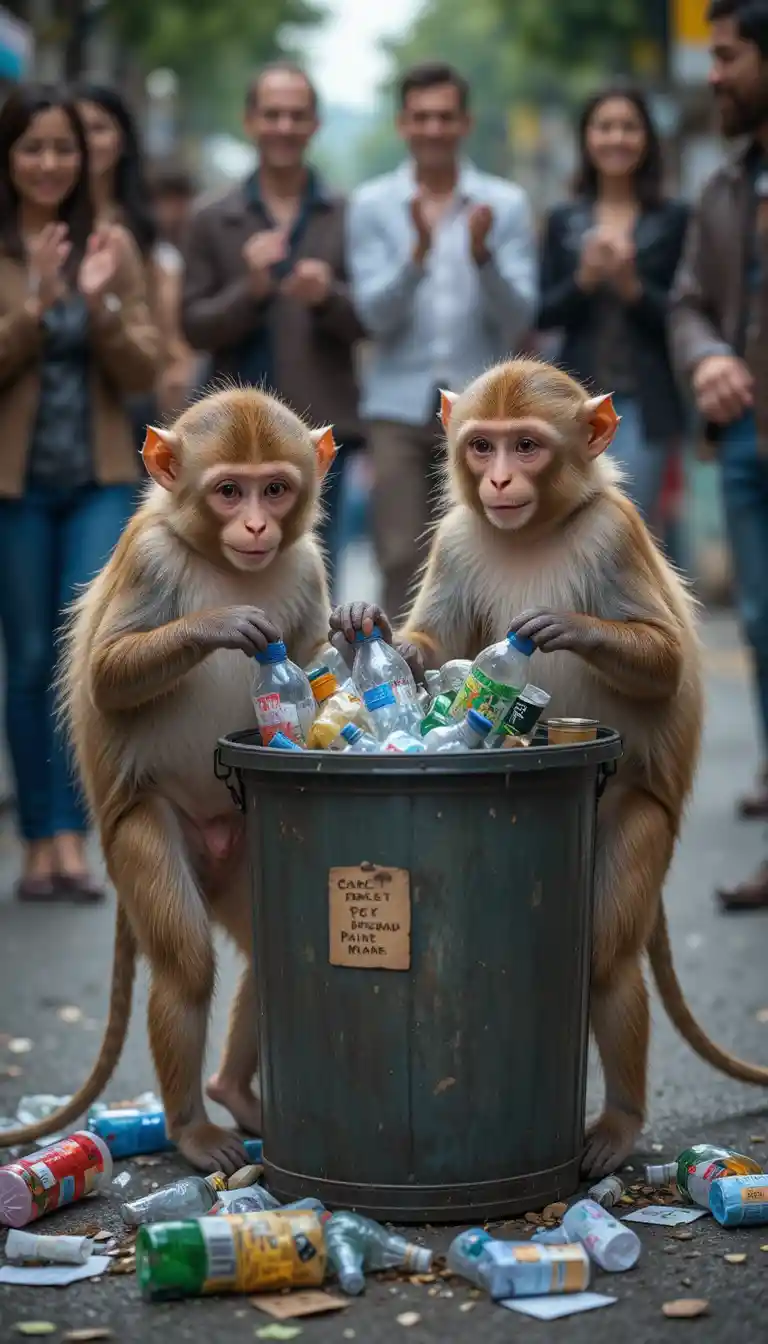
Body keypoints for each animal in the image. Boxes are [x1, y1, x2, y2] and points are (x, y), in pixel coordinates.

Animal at [0, 387, 335, 1173]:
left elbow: (313, 657)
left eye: (275, 489)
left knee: (269, 951)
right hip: (143, 830)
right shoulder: (151, 561)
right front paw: (221, 624)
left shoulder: (305, 564)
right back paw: (190, 1126)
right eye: (229, 491)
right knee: (184, 961)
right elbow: (106, 675)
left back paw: (234, 1091)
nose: (255, 525)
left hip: (247, 838)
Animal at [330, 358, 768, 1179]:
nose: (500, 480)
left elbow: (664, 663)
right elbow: (435, 645)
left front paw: (563, 627)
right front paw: (368, 637)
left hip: (638, 814)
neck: (533, 531)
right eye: (482, 446)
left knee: (606, 955)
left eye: (527, 445)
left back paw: (620, 1125)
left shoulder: (616, 535)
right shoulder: (459, 538)